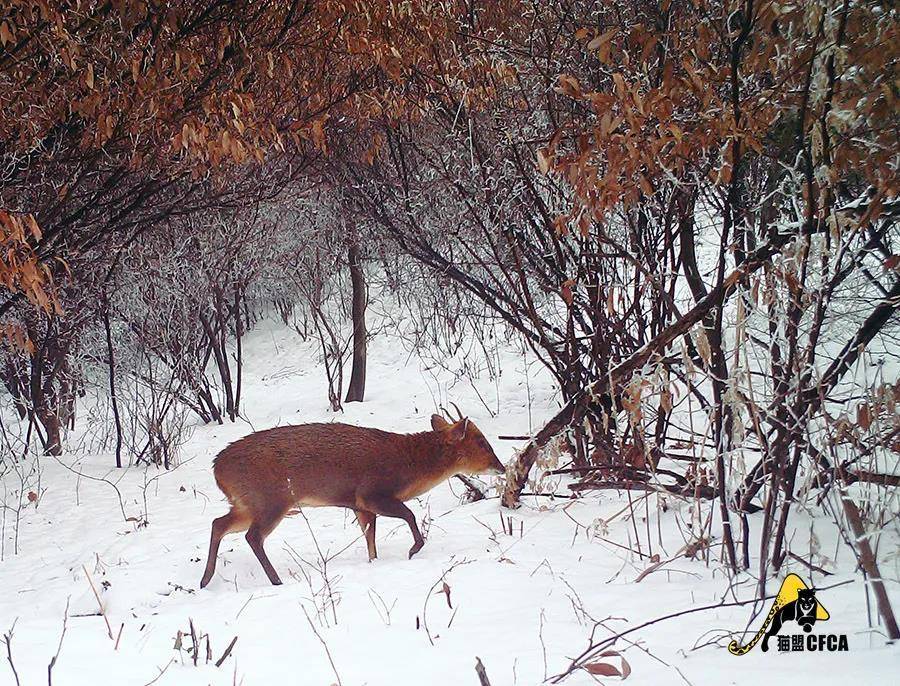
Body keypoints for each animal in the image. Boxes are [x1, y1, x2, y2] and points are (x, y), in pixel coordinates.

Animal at [200, 412, 502, 588]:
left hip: (247, 503)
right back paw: (275, 580)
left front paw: (375, 563)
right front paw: (413, 550)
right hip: (270, 500)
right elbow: (409, 515)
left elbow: (370, 539)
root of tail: (216, 469)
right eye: (482, 442)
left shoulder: (360, 506)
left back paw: (205, 579)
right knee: (252, 536)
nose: (500, 466)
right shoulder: (370, 493)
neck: (408, 468)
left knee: (218, 523)